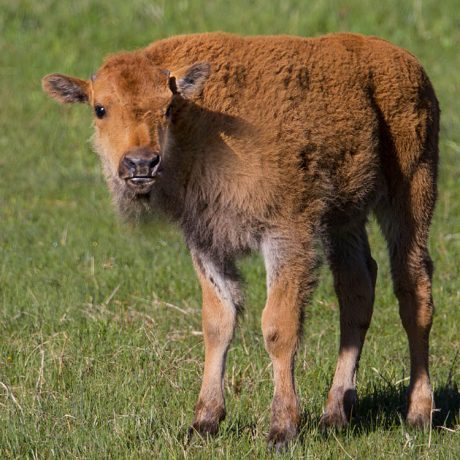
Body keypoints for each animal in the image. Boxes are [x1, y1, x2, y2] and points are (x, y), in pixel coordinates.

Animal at [42, 32, 438, 450]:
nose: (140, 164)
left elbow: (278, 327)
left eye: (167, 107)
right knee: (357, 290)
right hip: (345, 219)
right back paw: (335, 415)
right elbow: (218, 323)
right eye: (100, 108)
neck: (197, 123)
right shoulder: (206, 243)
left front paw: (281, 429)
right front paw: (203, 422)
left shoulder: (286, 234)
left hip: (411, 191)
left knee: (414, 292)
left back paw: (418, 413)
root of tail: (406, 63)